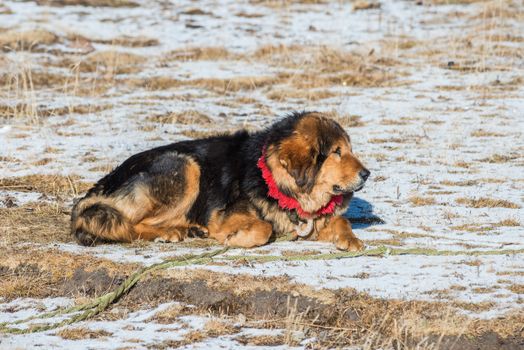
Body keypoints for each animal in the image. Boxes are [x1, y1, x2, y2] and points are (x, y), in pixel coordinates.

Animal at [71, 110, 370, 250]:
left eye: (350, 149)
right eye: (337, 152)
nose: (367, 174)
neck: (274, 181)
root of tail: (104, 182)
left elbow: (340, 220)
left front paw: (350, 239)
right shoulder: (224, 214)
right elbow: (263, 228)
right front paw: (236, 238)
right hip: (185, 166)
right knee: (129, 224)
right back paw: (171, 232)